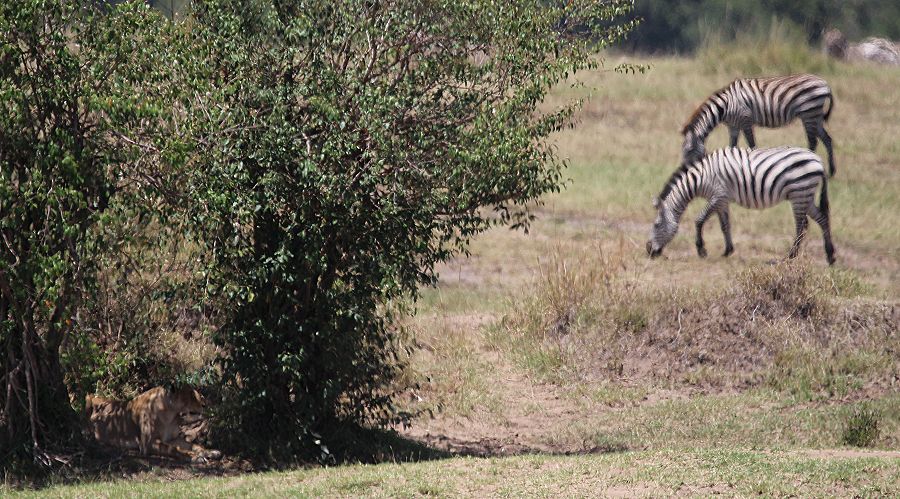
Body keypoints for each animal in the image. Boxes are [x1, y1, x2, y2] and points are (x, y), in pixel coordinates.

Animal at [648, 146, 836, 266]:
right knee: (821, 219)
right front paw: (727, 251)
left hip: (799, 192)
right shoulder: (722, 200)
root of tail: (819, 161)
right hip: (805, 195)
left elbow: (699, 220)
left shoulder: (718, 196)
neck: (700, 178)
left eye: (656, 225)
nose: (648, 251)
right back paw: (830, 255)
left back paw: (790, 256)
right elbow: (725, 225)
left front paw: (702, 250)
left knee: (802, 225)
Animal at [684, 74, 836, 176]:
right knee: (827, 139)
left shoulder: (745, 120)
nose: (686, 171)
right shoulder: (733, 126)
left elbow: (752, 145)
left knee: (813, 142)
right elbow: (732, 146)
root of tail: (825, 84)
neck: (725, 106)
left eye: (689, 151)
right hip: (816, 116)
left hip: (808, 113)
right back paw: (831, 172)